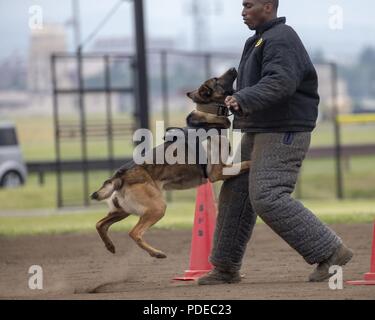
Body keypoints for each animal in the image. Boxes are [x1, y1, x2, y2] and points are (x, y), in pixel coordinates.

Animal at [89, 69, 251, 258]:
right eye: (217, 79)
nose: (233, 68)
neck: (209, 115)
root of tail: (120, 175)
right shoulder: (218, 173)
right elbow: (247, 162)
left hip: (123, 210)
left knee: (100, 224)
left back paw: (110, 246)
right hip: (157, 208)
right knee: (134, 233)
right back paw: (156, 253)